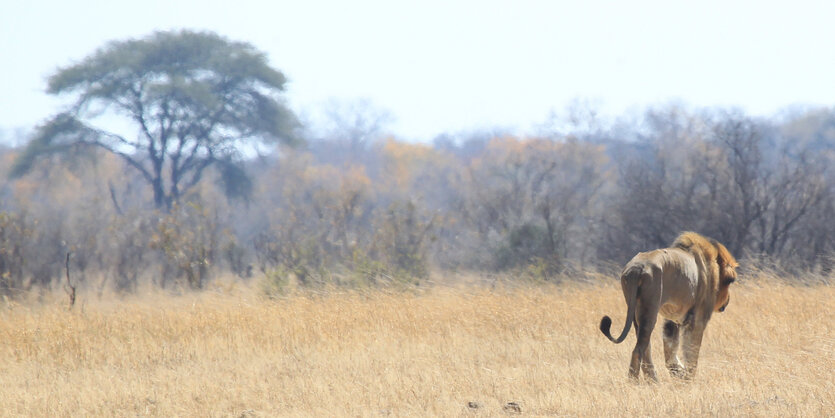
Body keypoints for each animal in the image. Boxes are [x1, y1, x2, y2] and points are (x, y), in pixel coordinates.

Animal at [600, 232, 740, 382]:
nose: (728, 300)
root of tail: (637, 268)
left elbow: (670, 350)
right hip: (649, 310)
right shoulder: (698, 319)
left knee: (645, 348)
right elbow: (692, 352)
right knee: (638, 351)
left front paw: (678, 372)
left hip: (635, 313)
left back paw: (653, 381)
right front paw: (688, 378)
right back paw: (635, 382)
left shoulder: (672, 320)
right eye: (730, 282)